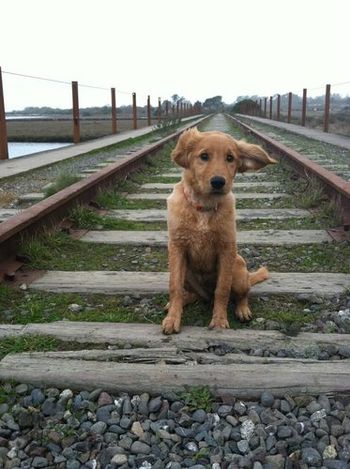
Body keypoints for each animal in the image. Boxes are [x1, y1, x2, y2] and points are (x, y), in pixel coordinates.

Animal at [163, 126, 278, 334]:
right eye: (204, 156)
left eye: (230, 158)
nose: (218, 182)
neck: (204, 207)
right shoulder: (177, 248)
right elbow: (174, 286)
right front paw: (172, 319)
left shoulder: (226, 249)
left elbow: (222, 290)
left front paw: (219, 321)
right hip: (189, 274)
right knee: (197, 295)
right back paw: (184, 300)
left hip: (239, 270)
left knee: (240, 294)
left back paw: (242, 310)